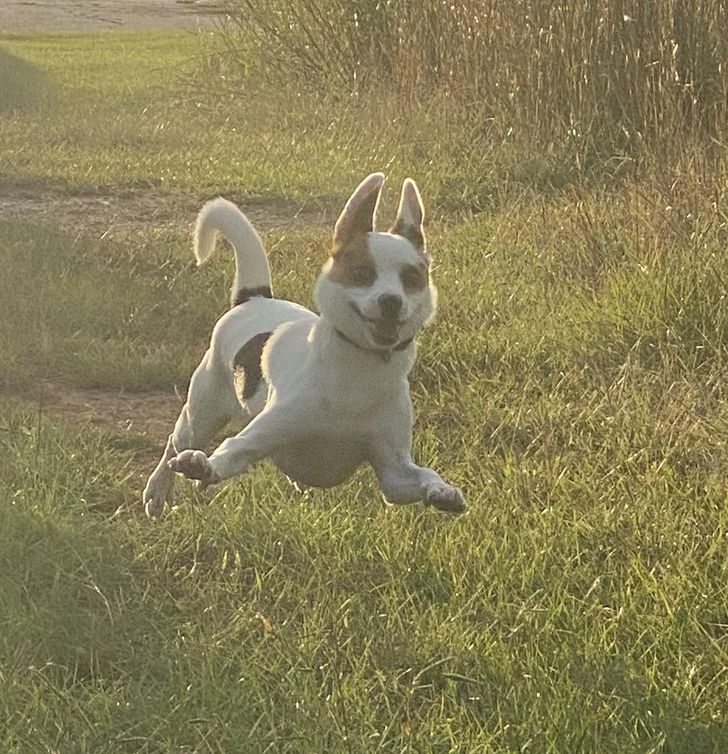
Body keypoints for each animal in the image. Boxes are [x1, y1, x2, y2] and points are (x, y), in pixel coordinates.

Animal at [144, 172, 466, 516]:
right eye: (362, 273)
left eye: (411, 279)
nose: (392, 301)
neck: (359, 369)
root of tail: (254, 297)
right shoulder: (258, 437)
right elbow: (228, 454)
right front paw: (202, 468)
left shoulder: (394, 473)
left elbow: (420, 476)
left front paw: (441, 491)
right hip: (201, 414)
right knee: (175, 444)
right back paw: (156, 492)